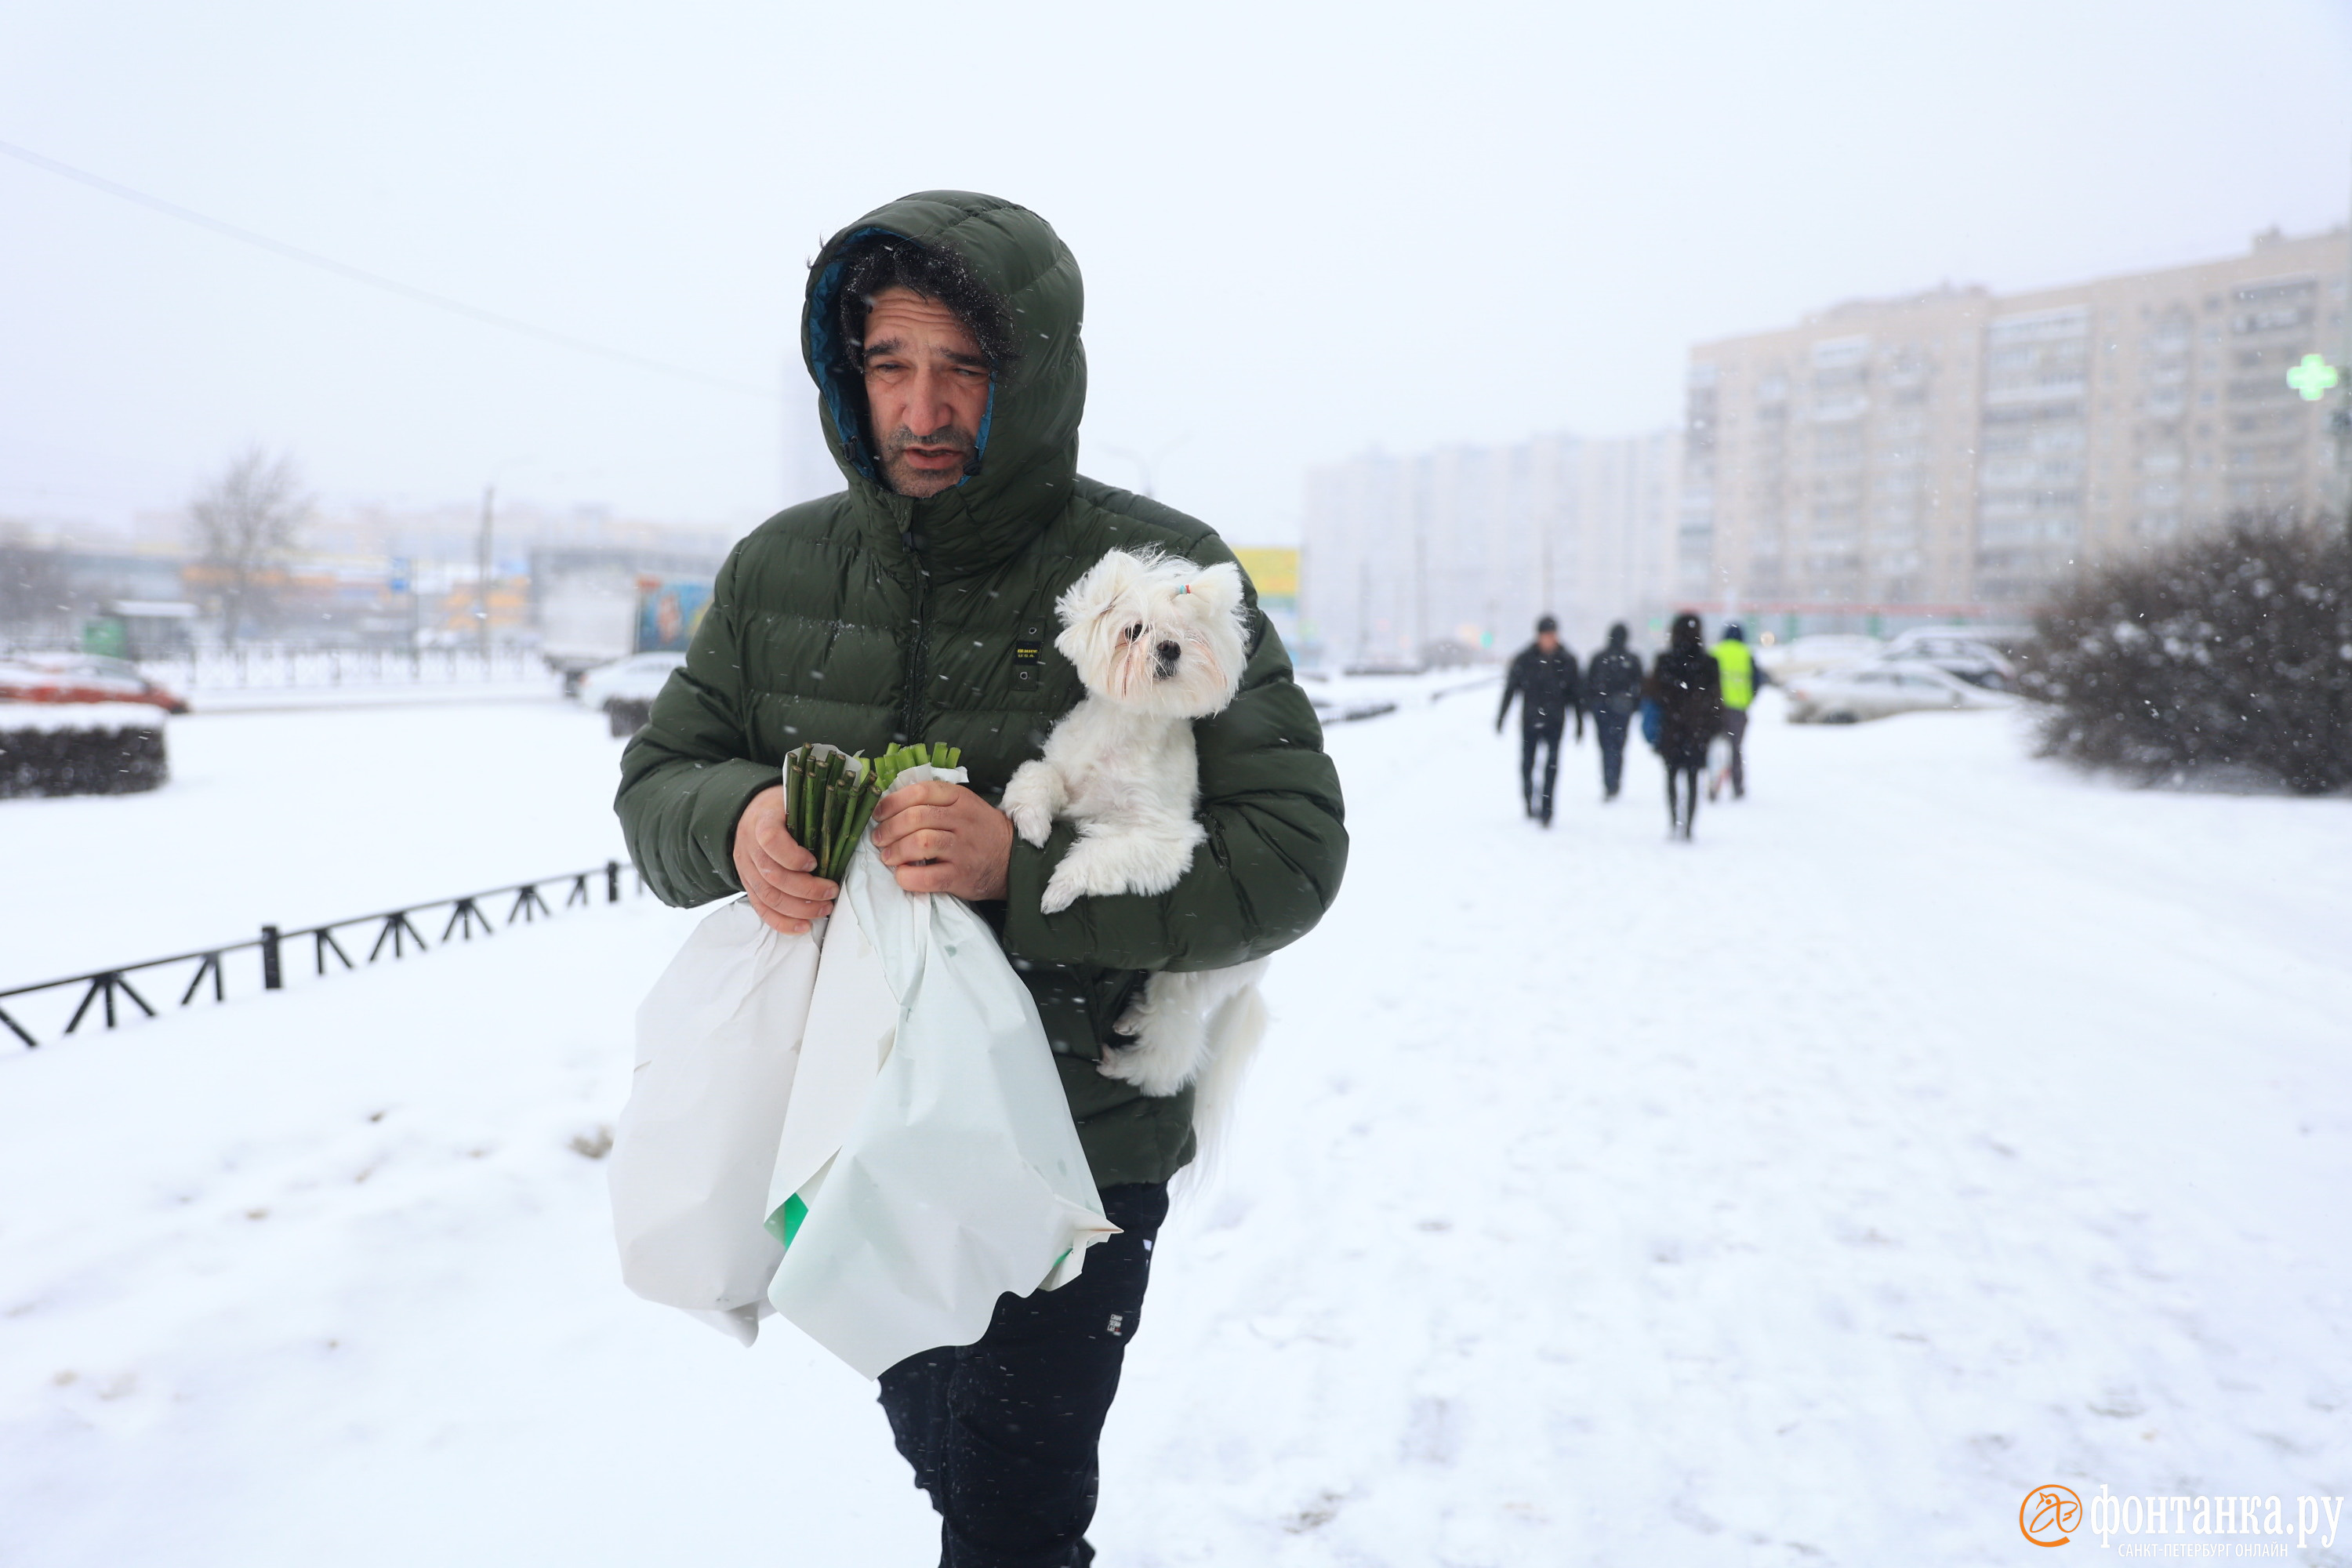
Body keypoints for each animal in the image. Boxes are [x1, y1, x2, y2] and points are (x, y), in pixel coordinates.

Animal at [1002, 545, 1279, 1133]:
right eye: (1133, 630)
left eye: (1190, 634)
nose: (1170, 648)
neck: (1123, 735)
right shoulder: (1062, 770)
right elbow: (1036, 779)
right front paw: (1032, 822)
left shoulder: (1161, 841)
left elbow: (1102, 854)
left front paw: (1058, 888)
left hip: (1186, 982)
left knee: (1170, 1055)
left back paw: (1126, 1061)